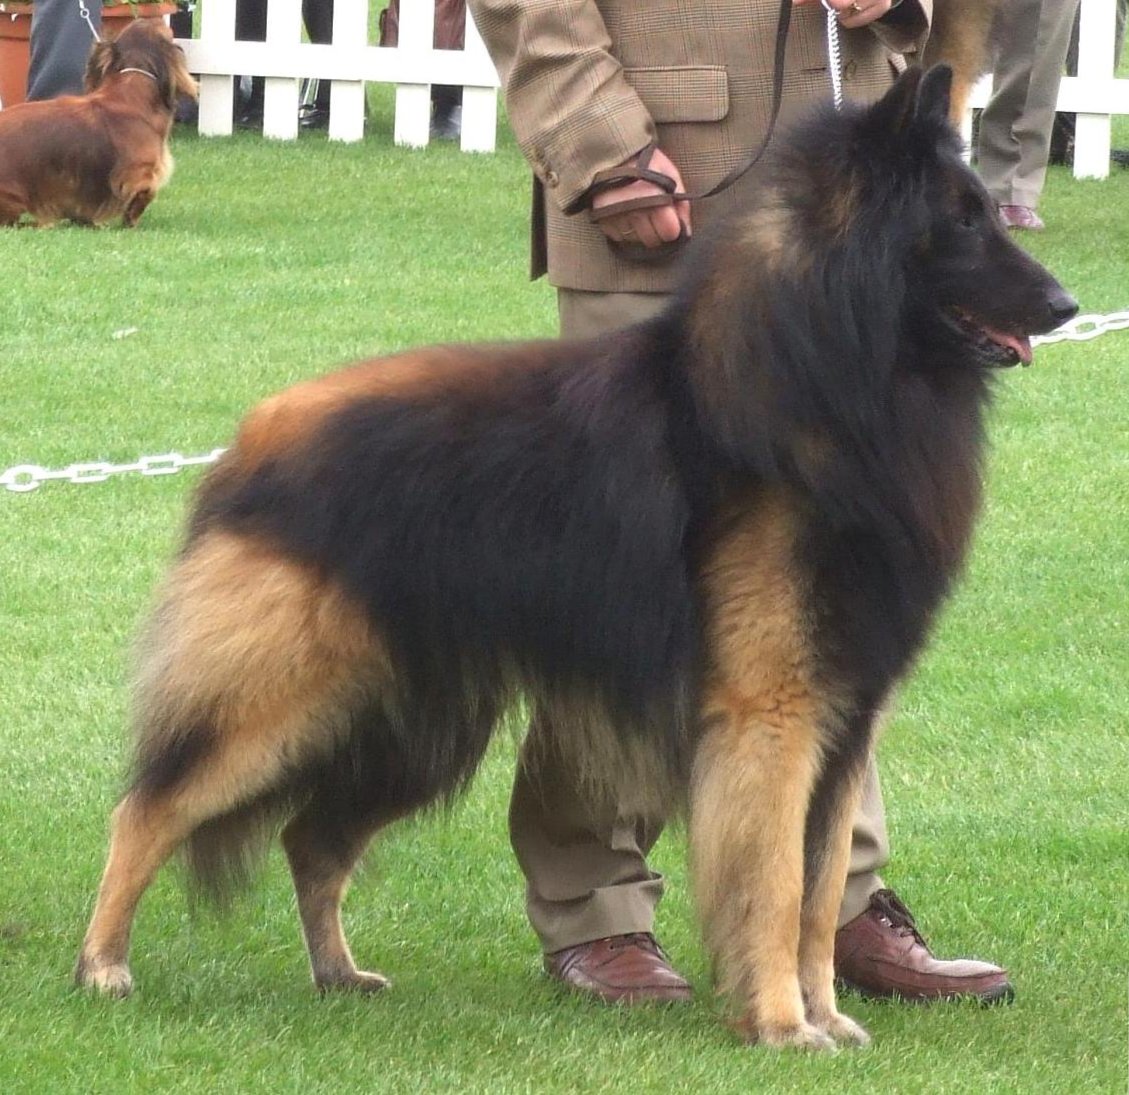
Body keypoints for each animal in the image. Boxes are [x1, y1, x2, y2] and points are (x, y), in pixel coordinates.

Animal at [75, 68, 1070, 1052]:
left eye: (985, 211)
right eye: (961, 221)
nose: (1063, 307)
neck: (827, 375)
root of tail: (250, 442)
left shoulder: (845, 719)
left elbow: (821, 894)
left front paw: (824, 1013)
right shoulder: (772, 719)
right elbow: (778, 884)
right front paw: (784, 1026)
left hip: (407, 730)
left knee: (310, 840)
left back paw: (337, 972)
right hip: (281, 704)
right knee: (148, 808)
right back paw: (103, 966)